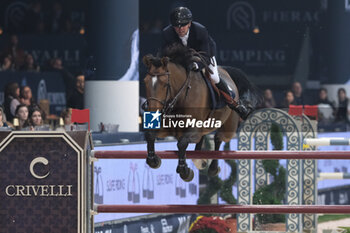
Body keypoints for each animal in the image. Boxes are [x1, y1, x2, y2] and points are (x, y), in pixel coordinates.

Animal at [143, 44, 262, 182]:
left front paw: (185, 171)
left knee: (218, 138)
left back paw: (212, 168)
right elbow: (150, 135)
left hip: (229, 126)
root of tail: (225, 71)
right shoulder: (166, 130)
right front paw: (153, 160)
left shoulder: (194, 129)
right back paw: (199, 160)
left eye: (164, 84)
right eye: (145, 81)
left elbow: (182, 143)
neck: (181, 97)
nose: (152, 111)